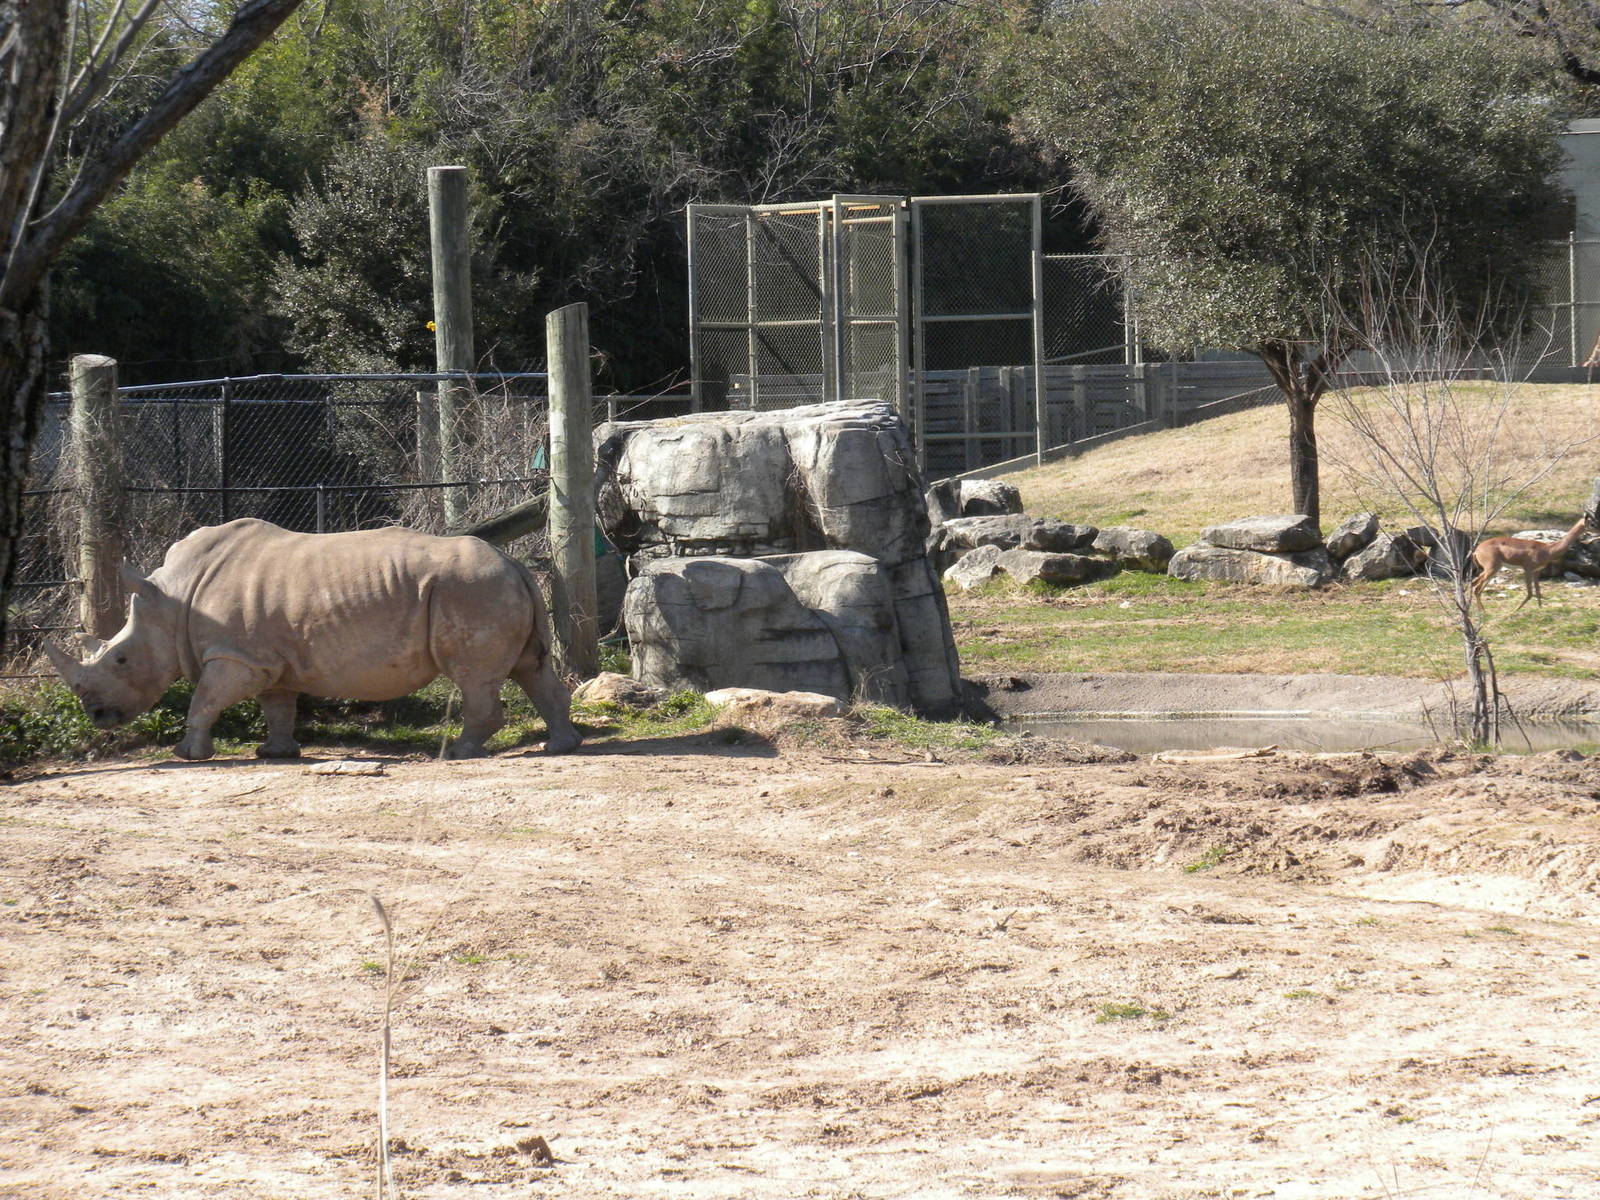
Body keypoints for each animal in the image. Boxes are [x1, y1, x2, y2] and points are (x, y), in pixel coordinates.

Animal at [43, 519, 582, 761]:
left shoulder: (236, 656)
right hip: (493, 586)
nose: (96, 716)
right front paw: (275, 753)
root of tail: (514, 562)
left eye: (121, 660)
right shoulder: (266, 660)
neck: (171, 601)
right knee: (531, 668)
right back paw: (561, 745)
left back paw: (460, 753)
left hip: (471, 589)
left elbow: (205, 699)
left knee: (474, 677)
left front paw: (187, 755)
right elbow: (277, 705)